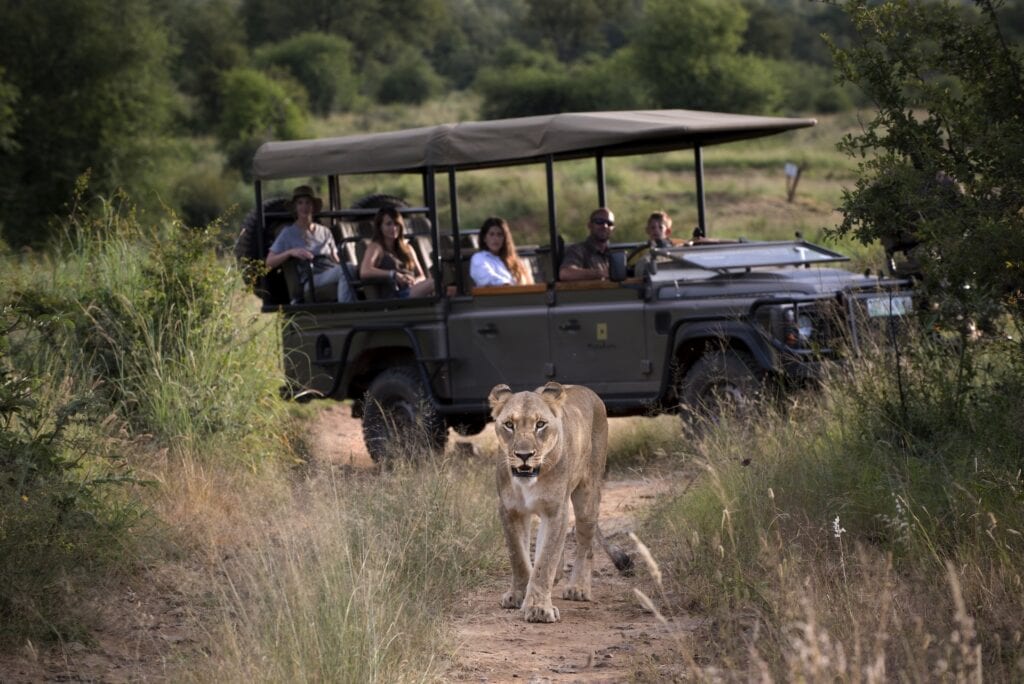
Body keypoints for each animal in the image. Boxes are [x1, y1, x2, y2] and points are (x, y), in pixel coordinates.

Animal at [488, 382, 632, 623]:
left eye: (540, 424)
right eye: (509, 425)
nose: (524, 455)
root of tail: (586, 390)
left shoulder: (556, 510)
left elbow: (545, 560)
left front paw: (538, 607)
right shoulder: (510, 510)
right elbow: (518, 556)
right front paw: (518, 594)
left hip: (587, 496)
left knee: (585, 544)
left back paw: (578, 588)